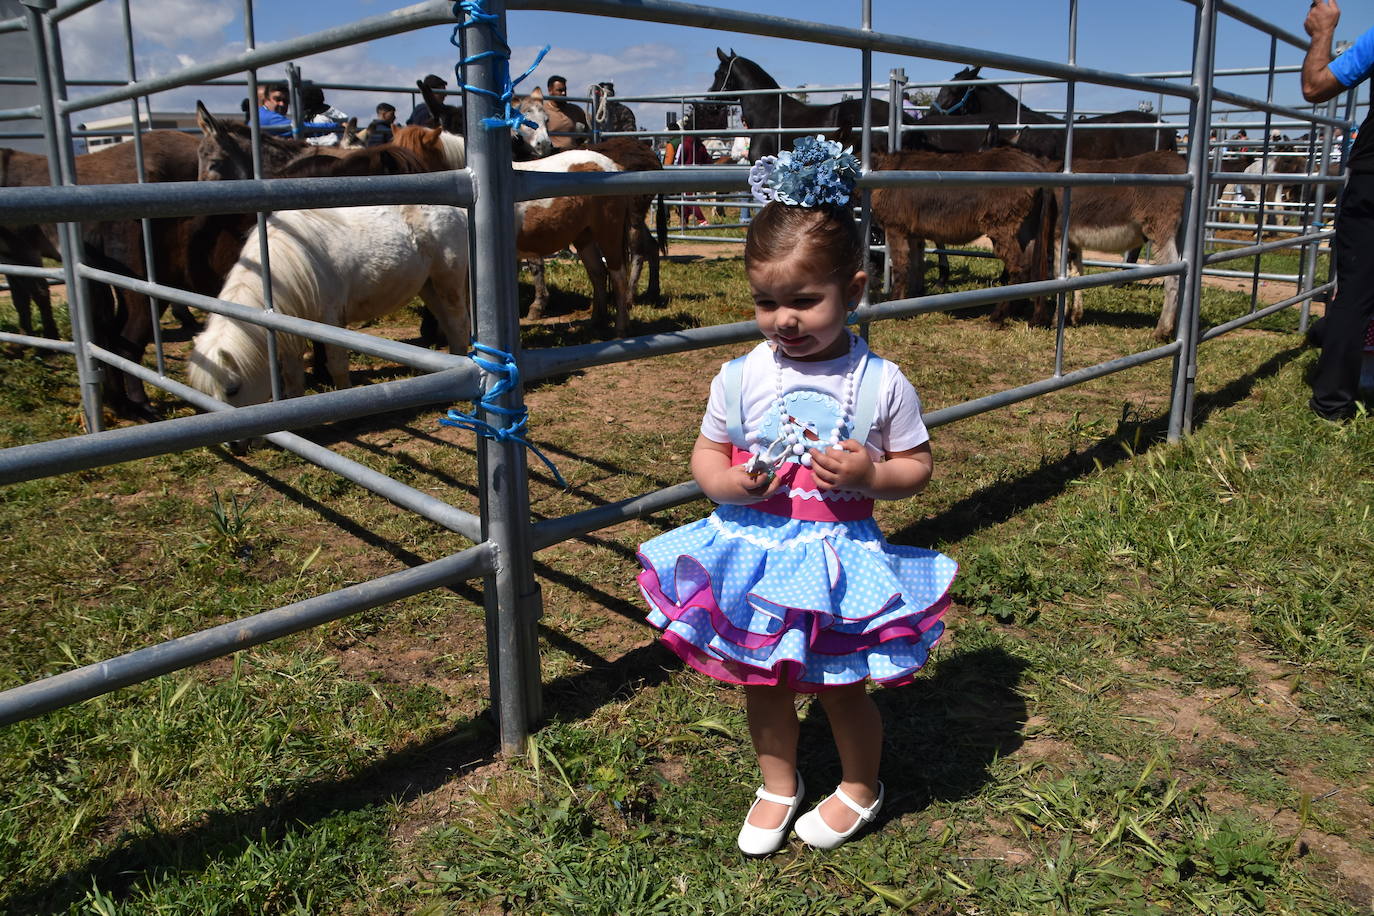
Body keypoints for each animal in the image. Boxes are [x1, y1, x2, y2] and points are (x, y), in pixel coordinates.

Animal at [186, 210, 472, 409]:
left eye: (232, 389)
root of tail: (457, 212)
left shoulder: (331, 319)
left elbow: (337, 364)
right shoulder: (290, 324)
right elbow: (292, 373)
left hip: (447, 284)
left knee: (458, 325)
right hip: (428, 287)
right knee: (448, 325)